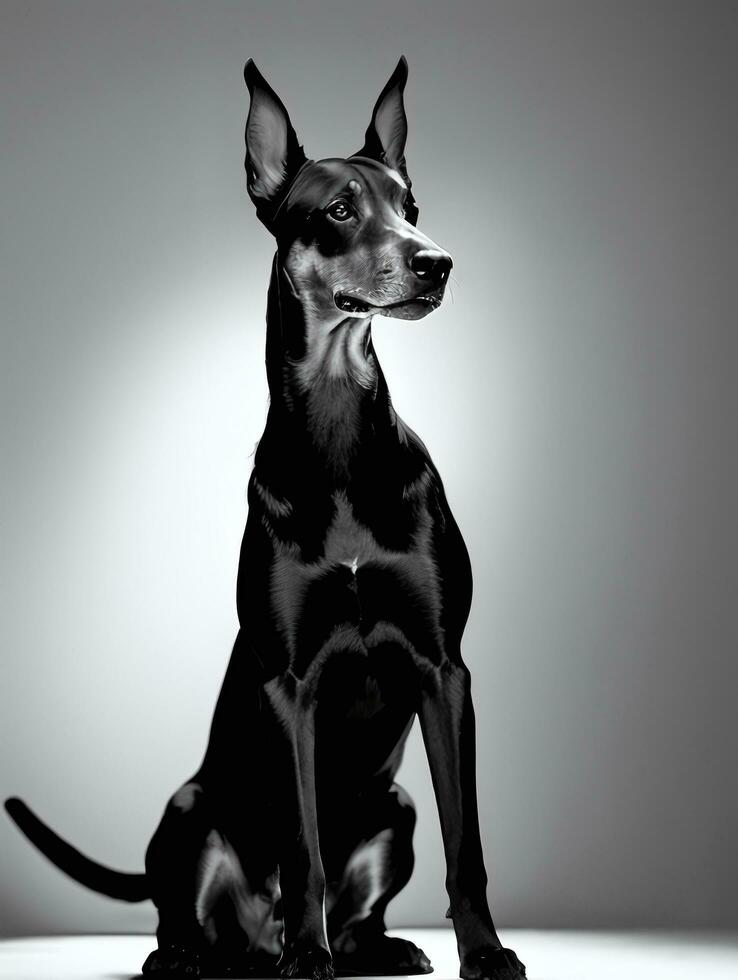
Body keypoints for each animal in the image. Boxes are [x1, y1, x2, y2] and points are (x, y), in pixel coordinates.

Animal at [5, 59, 524, 980]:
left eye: (410, 204)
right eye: (341, 209)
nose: (436, 262)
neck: (339, 432)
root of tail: (241, 942)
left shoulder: (443, 669)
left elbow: (467, 842)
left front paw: (486, 953)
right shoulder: (288, 684)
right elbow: (302, 846)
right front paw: (305, 960)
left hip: (394, 807)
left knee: (363, 901)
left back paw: (378, 948)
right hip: (191, 808)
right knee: (189, 914)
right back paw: (203, 953)